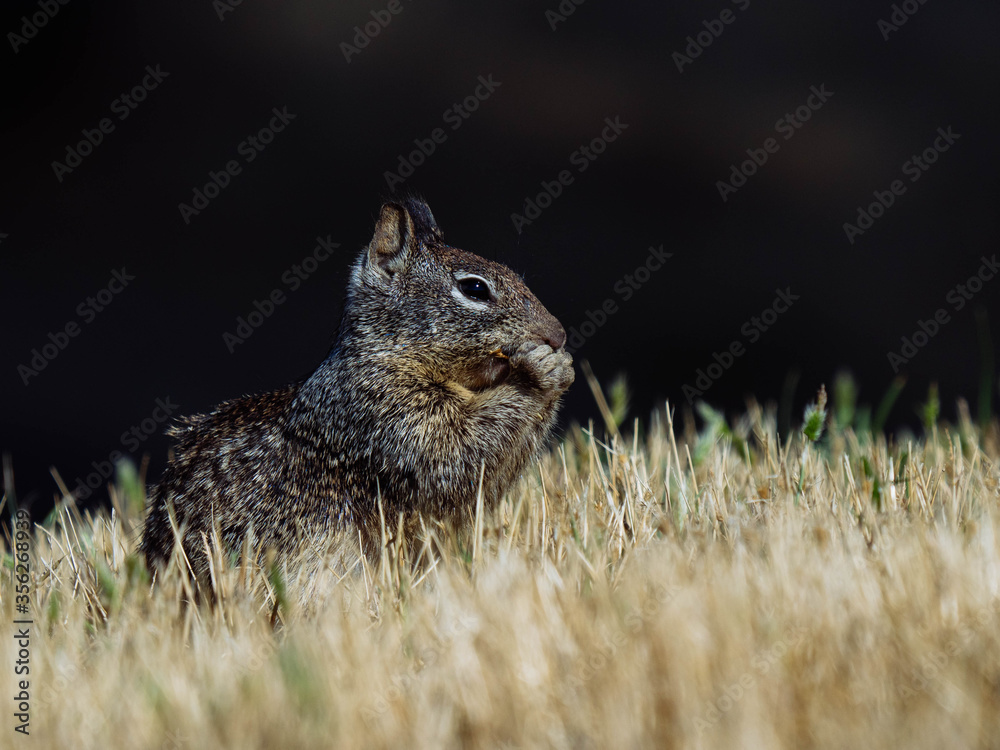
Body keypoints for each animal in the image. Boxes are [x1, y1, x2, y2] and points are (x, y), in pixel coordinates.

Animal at [140, 198, 574, 577]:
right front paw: (544, 368)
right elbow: (456, 456)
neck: (386, 353)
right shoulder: (387, 418)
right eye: (475, 289)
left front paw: (562, 366)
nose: (558, 334)